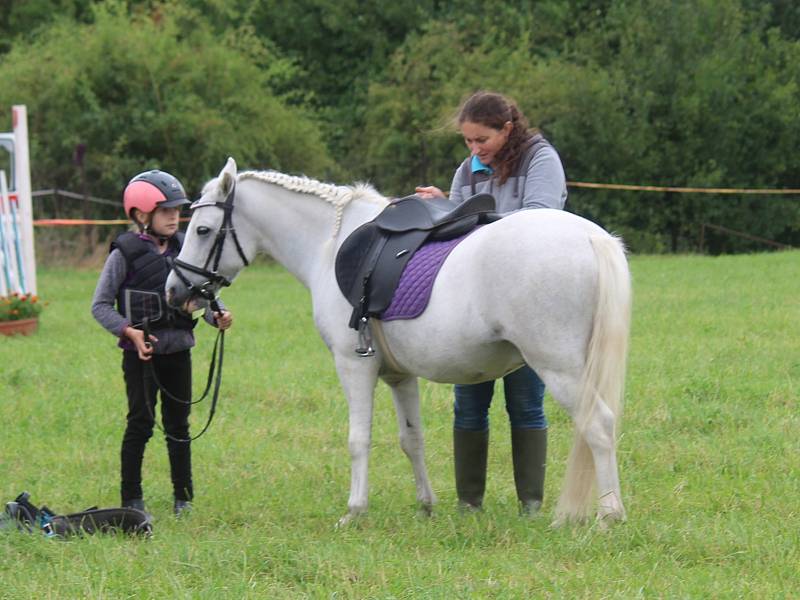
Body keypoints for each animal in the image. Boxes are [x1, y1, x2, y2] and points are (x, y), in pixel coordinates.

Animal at [167, 158, 632, 524]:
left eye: (203, 230)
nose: (176, 291)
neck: (329, 244)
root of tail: (591, 237)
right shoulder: (399, 376)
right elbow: (413, 439)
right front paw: (426, 505)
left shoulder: (353, 365)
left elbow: (359, 440)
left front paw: (355, 511)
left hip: (559, 369)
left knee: (598, 424)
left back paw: (609, 514)